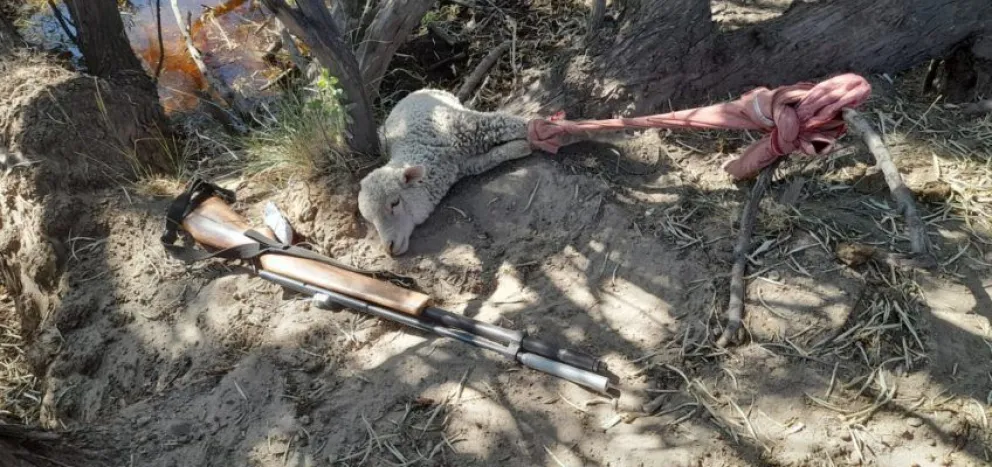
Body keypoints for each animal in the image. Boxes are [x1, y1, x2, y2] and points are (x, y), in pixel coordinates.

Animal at [358, 89, 534, 256]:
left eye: (395, 202)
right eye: (370, 220)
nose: (389, 248)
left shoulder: (470, 124)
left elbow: (512, 123)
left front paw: (535, 130)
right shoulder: (464, 165)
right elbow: (491, 157)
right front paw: (520, 147)